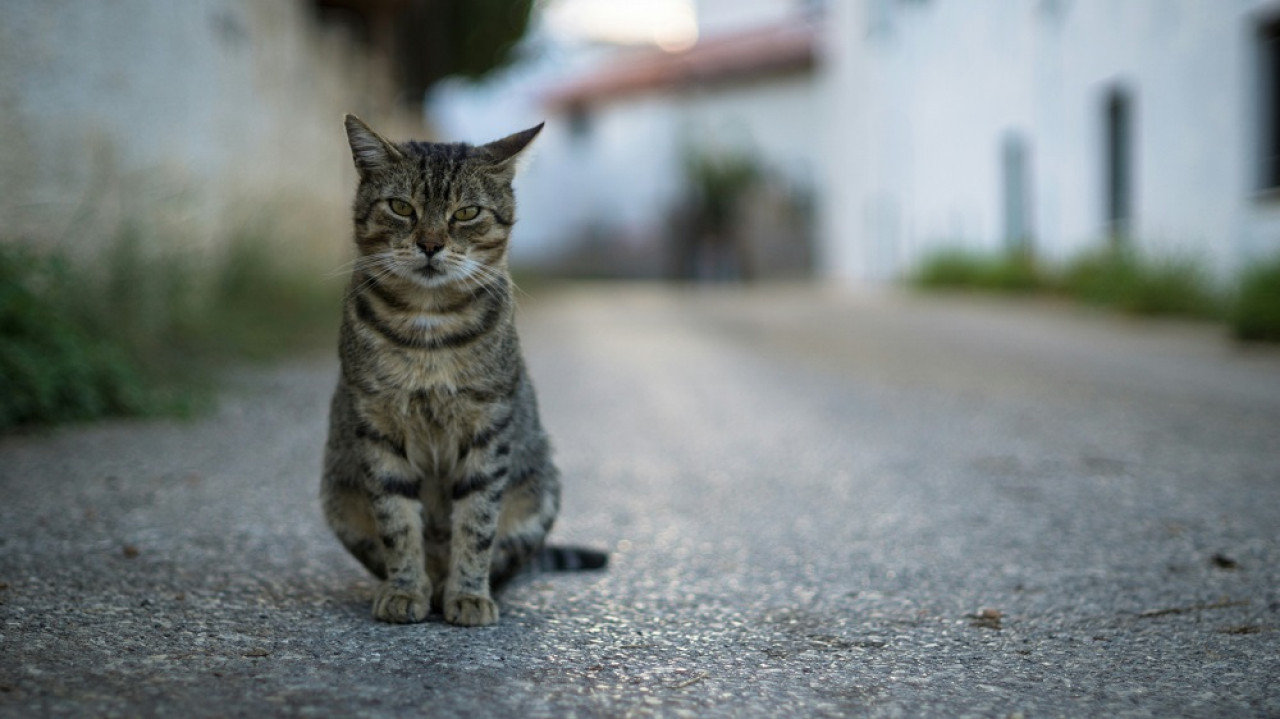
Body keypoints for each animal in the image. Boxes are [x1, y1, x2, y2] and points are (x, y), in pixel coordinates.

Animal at [317, 113, 601, 621]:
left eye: (466, 213)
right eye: (401, 207)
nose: (430, 244)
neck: (429, 327)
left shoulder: (488, 424)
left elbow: (477, 520)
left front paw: (468, 594)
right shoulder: (376, 422)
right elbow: (397, 521)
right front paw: (405, 589)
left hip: (540, 491)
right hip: (337, 494)